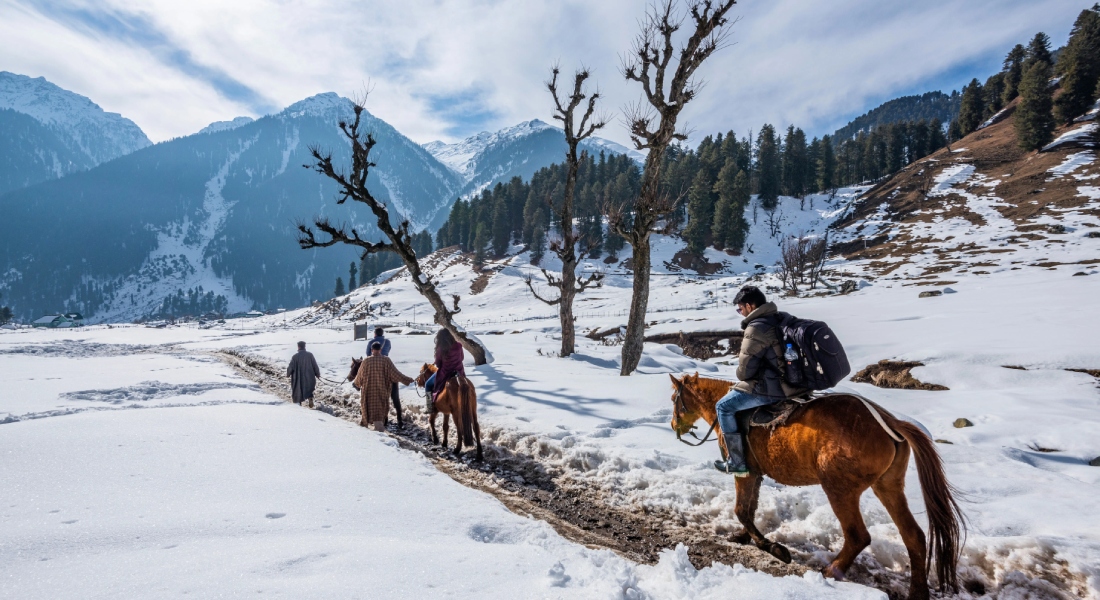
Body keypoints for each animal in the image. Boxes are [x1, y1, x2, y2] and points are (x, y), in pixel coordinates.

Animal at [668, 372, 963, 594]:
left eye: (674, 398)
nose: (673, 425)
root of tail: (891, 422)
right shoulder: (756, 475)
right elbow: (748, 509)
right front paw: (742, 537)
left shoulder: (744, 472)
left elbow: (741, 510)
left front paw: (773, 547)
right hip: (888, 486)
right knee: (914, 536)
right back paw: (917, 592)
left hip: (839, 489)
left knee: (858, 535)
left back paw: (832, 570)